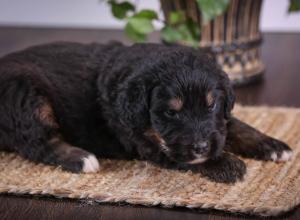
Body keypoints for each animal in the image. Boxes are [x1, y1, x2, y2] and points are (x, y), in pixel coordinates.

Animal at [0, 42, 292, 183]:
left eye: (211, 105)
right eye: (171, 113)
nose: (201, 146)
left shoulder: (217, 123)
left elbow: (235, 126)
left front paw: (273, 145)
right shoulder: (147, 142)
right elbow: (182, 156)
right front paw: (226, 163)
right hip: (26, 96)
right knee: (38, 144)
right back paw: (83, 159)